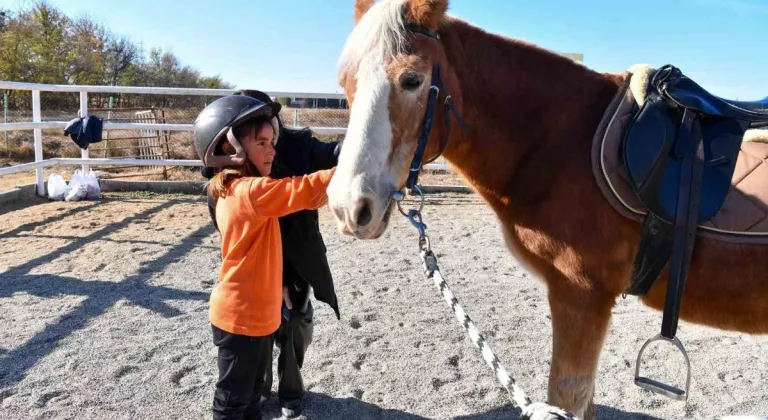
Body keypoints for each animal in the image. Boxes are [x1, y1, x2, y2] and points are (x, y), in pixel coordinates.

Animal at [326, 0, 768, 416]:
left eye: (412, 79)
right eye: (345, 81)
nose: (349, 206)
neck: (563, 141)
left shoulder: (581, 296)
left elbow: (566, 395)